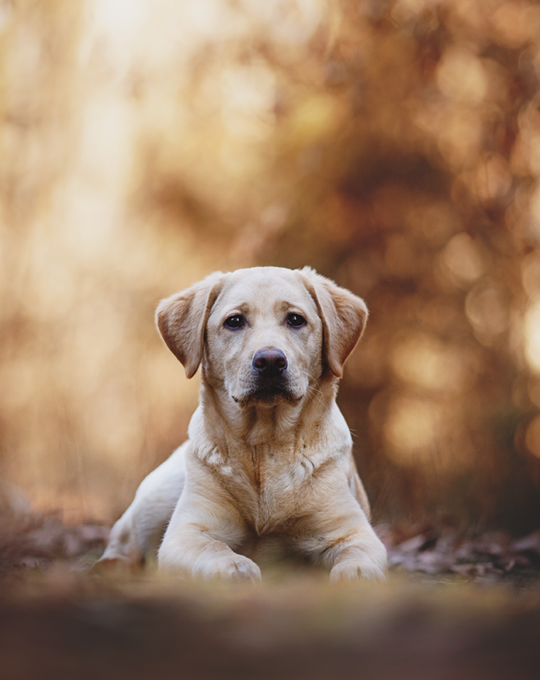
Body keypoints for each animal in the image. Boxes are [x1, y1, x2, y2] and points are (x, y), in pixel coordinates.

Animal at [96, 266, 384, 580]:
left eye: (296, 319)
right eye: (234, 321)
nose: (270, 361)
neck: (264, 445)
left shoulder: (350, 530)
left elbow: (357, 553)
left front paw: (357, 573)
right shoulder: (186, 532)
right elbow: (213, 547)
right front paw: (235, 567)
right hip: (156, 499)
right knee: (123, 542)